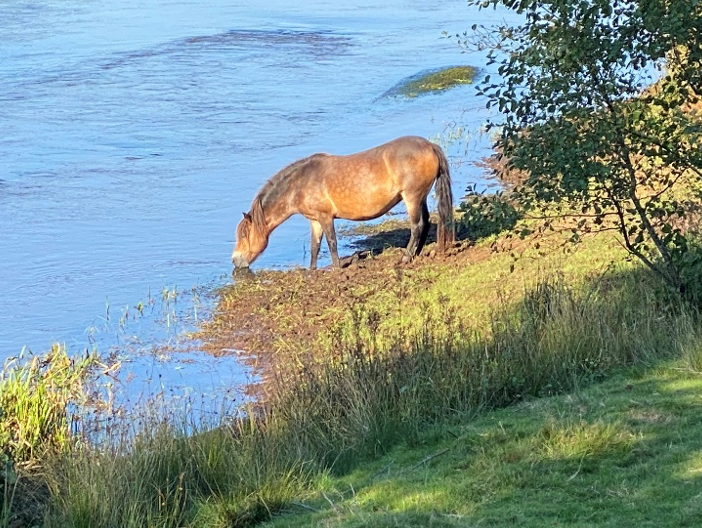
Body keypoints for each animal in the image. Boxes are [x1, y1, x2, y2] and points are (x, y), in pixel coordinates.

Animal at [232, 135, 455, 270]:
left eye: (244, 235)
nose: (235, 260)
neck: (300, 183)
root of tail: (429, 146)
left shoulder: (325, 217)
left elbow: (331, 242)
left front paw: (337, 267)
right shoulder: (315, 220)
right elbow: (314, 247)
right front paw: (312, 270)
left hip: (412, 197)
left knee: (417, 226)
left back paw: (406, 258)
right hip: (419, 197)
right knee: (425, 223)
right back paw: (416, 253)